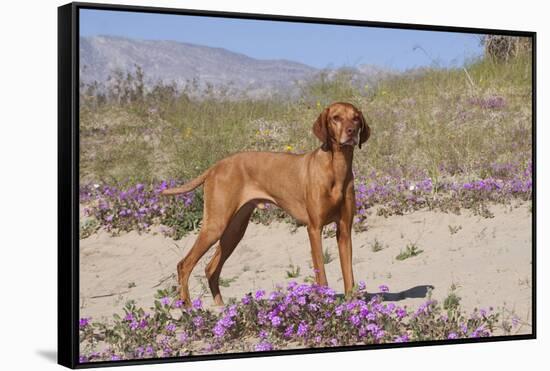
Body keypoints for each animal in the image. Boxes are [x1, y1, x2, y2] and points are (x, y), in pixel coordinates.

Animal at [162, 102, 374, 308]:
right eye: (336, 117)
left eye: (356, 118)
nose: (351, 131)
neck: (336, 168)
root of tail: (216, 166)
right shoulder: (314, 228)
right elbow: (320, 273)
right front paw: (323, 303)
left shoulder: (344, 230)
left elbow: (349, 275)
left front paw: (353, 307)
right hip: (216, 225)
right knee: (184, 265)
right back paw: (188, 307)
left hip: (234, 231)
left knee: (210, 268)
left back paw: (221, 309)